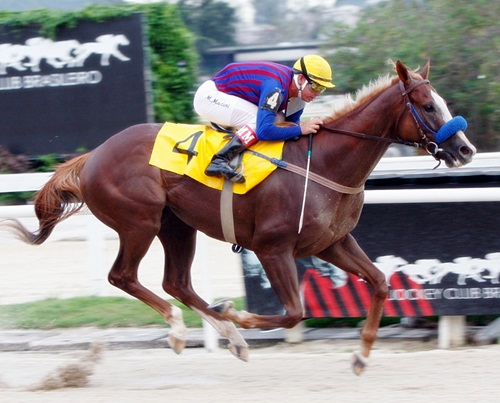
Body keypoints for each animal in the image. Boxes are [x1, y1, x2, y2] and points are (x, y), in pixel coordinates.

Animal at [0, 60, 476, 376]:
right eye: (427, 106)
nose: (466, 149)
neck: (324, 163)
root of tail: (93, 155)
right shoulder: (272, 247)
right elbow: (293, 312)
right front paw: (238, 314)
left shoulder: (331, 242)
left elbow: (378, 283)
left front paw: (361, 355)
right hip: (140, 222)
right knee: (124, 277)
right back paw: (182, 330)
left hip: (177, 224)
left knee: (176, 282)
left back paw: (229, 336)